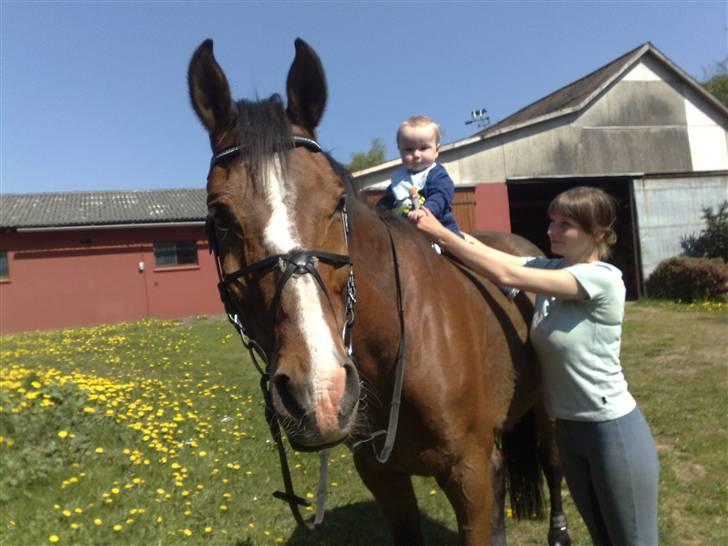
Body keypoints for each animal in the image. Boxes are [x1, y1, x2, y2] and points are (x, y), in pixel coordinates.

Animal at [186, 39, 568, 544]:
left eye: (338, 201)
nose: (319, 393)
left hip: (546, 410)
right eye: (221, 215)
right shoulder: (383, 476)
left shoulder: (468, 472)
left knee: (552, 461)